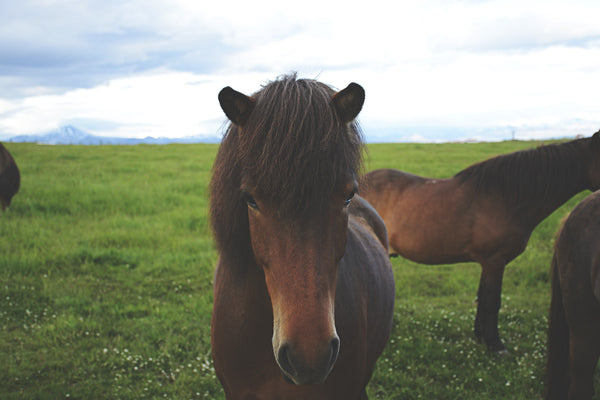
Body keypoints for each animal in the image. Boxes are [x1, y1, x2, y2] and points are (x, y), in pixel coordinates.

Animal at [358, 130, 600, 352]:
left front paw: (480, 337)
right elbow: (492, 301)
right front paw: (495, 345)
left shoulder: (488, 263)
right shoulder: (494, 261)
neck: (506, 198)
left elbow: (482, 298)